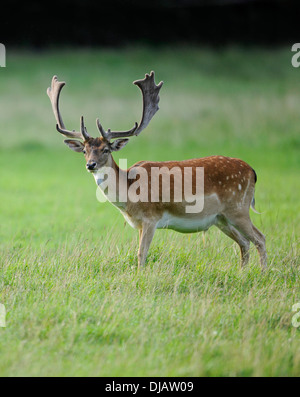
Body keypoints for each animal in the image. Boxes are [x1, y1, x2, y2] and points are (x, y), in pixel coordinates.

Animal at [47, 71, 268, 270]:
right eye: (84, 150)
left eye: (106, 149)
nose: (90, 165)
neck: (129, 194)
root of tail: (252, 171)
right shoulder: (138, 224)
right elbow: (138, 252)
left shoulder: (151, 217)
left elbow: (141, 253)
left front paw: (140, 276)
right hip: (221, 218)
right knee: (244, 242)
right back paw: (242, 273)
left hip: (238, 208)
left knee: (260, 238)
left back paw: (263, 273)